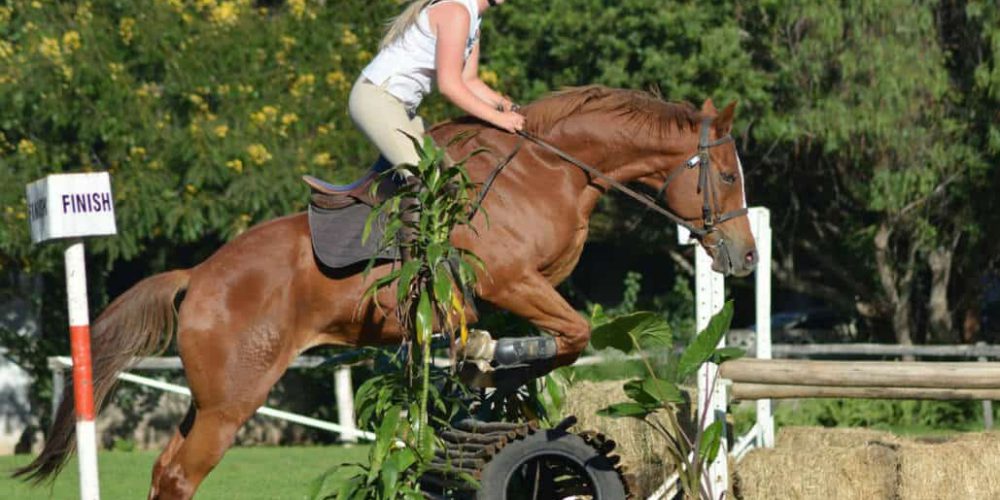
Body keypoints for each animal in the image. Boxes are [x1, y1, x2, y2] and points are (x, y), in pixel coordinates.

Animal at [15, 84, 752, 498]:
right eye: (726, 176)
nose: (744, 257)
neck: (548, 169)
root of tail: (198, 277)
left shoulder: (524, 291)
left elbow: (555, 345)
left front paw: (490, 379)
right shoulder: (513, 281)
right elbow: (569, 337)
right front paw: (491, 365)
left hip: (209, 400)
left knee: (167, 470)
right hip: (231, 402)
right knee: (178, 476)